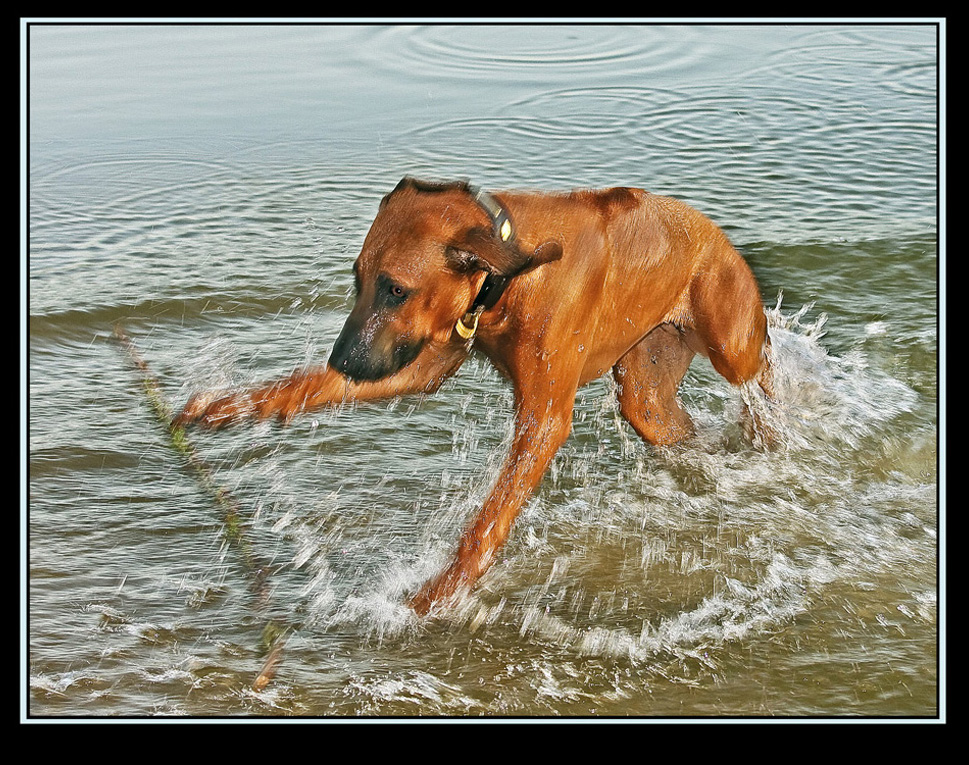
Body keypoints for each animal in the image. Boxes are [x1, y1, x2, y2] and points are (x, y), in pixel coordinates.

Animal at [178, 178, 776, 616]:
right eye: (357, 279)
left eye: (396, 288)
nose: (343, 361)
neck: (510, 269)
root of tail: (713, 233)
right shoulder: (422, 357)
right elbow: (306, 386)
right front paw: (229, 405)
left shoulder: (542, 417)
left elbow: (488, 519)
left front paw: (440, 592)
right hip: (646, 388)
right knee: (670, 423)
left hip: (730, 338)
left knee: (762, 368)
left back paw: (772, 417)